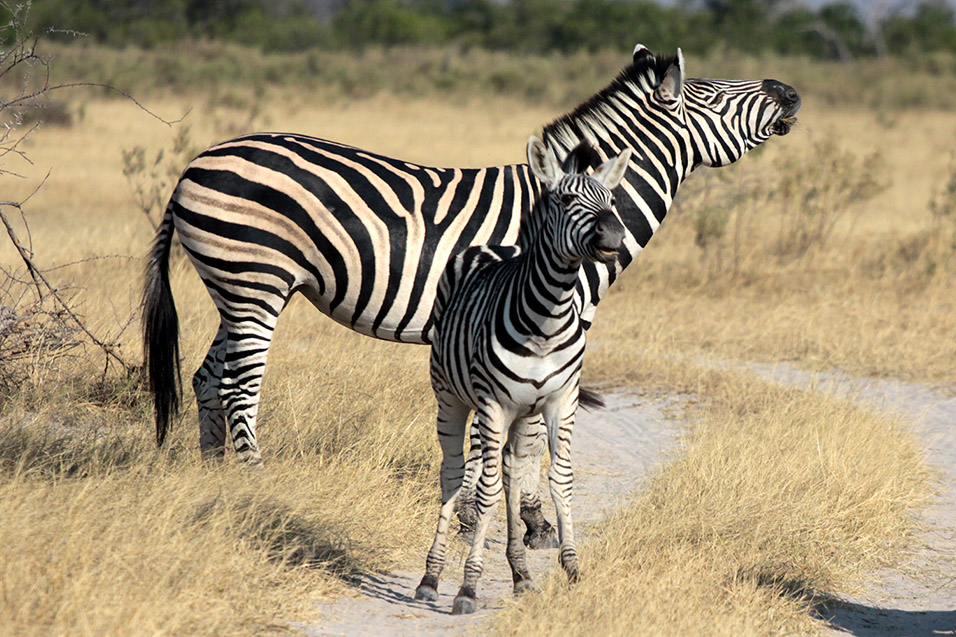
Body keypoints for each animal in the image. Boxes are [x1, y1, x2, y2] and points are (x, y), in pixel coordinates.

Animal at [144, 44, 800, 520]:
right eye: (712, 94)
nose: (792, 91)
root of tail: (193, 164)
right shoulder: (545, 331)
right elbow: (529, 435)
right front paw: (530, 519)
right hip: (255, 281)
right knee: (238, 386)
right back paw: (257, 484)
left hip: (236, 289)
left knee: (206, 377)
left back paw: (212, 479)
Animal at [414, 138, 632, 612]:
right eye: (565, 200)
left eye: (612, 200)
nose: (614, 236)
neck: (547, 320)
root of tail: (493, 246)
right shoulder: (494, 405)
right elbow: (486, 491)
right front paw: (468, 586)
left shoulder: (561, 402)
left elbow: (559, 480)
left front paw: (572, 568)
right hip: (452, 398)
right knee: (455, 474)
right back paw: (431, 577)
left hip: (524, 414)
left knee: (514, 475)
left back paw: (521, 574)